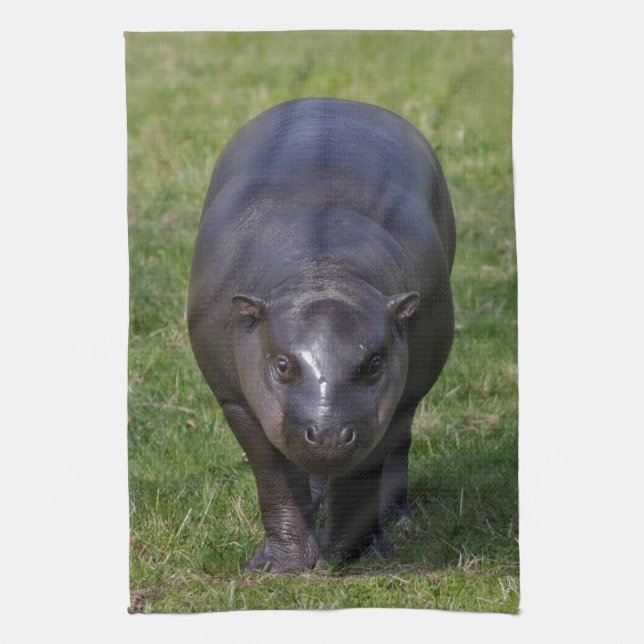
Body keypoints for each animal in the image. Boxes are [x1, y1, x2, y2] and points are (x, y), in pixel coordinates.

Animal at [188, 98, 455, 572]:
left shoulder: (386, 402)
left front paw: (355, 557)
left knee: (398, 445)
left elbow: (363, 471)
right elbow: (273, 476)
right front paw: (280, 566)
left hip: (406, 397)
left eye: (374, 362)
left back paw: (398, 519)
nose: (329, 434)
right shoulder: (235, 400)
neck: (323, 270)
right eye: (280, 363)